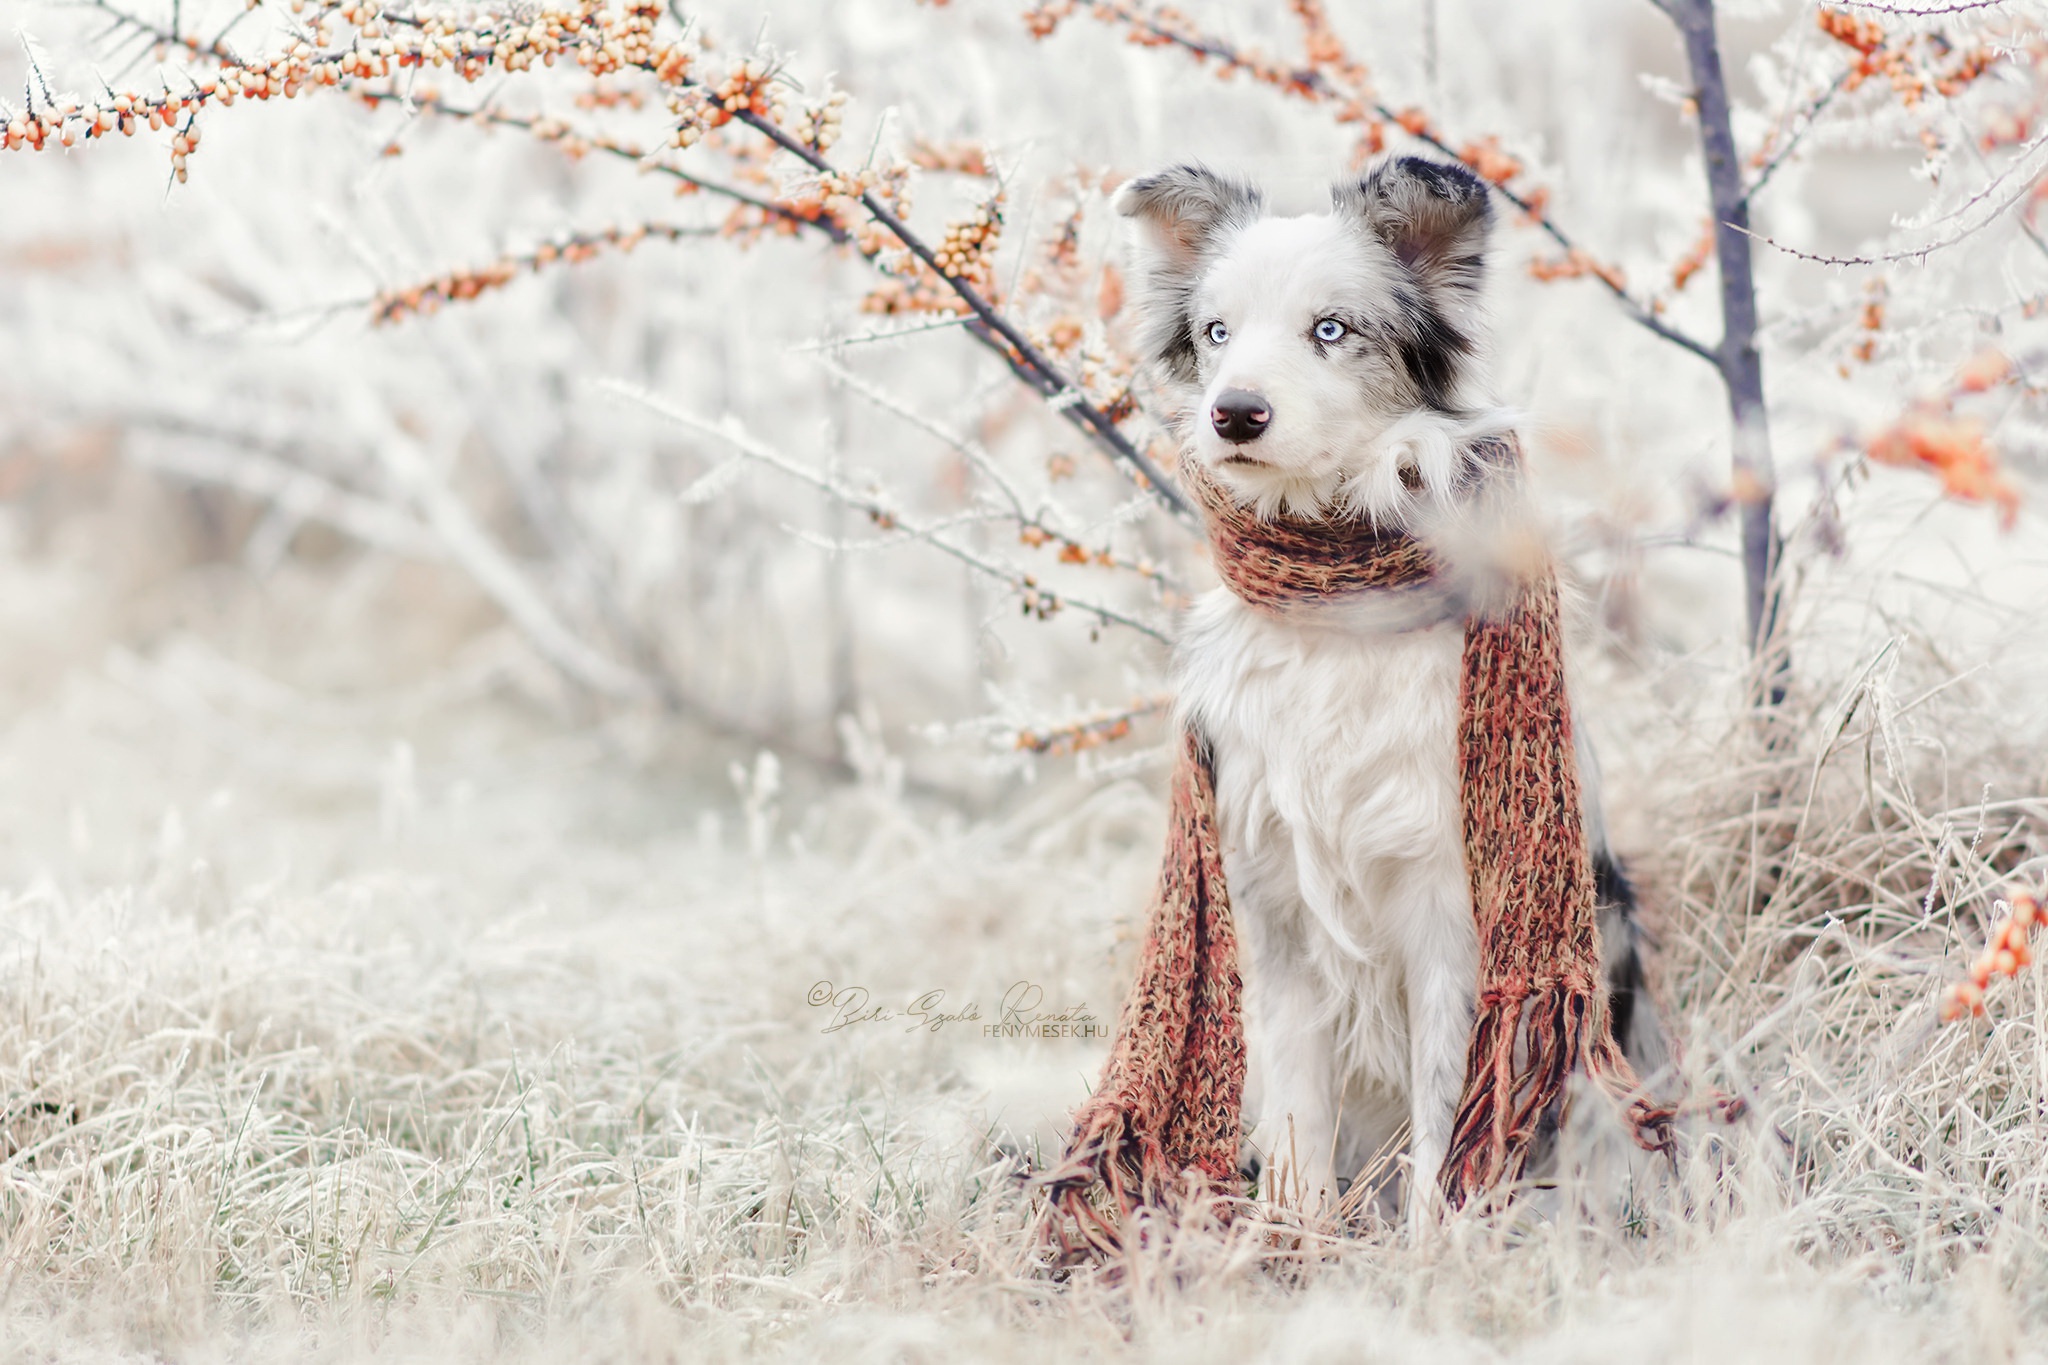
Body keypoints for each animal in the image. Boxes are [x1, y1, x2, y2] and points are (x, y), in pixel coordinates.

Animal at [1114, 157, 1654, 1219]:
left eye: (1332, 329)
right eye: (1217, 331)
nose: (1234, 412)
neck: (1337, 600)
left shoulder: (1449, 912)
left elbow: (1450, 1114)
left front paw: (1432, 1243)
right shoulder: (1273, 902)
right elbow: (1296, 1110)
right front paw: (1294, 1234)